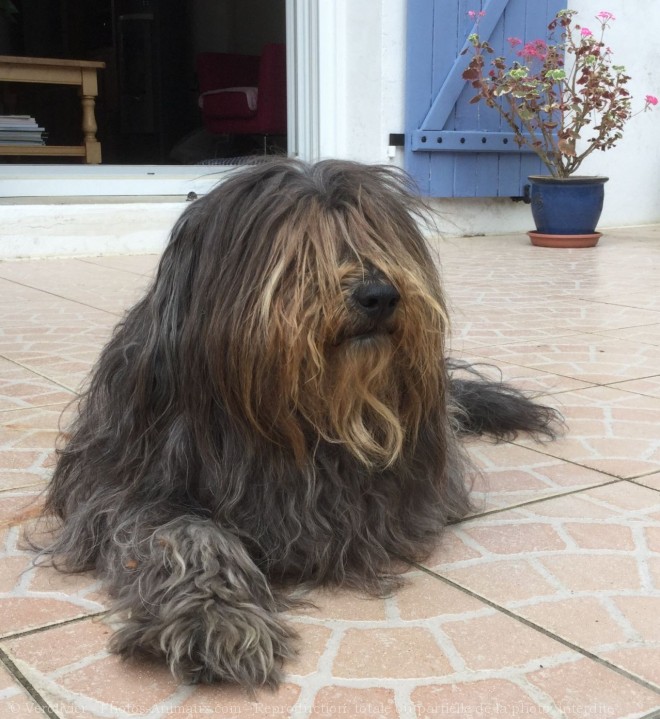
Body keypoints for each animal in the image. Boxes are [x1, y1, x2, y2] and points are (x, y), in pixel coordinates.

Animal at [38, 160, 560, 688]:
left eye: (377, 235)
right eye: (304, 249)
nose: (380, 295)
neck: (292, 419)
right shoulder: (124, 486)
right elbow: (184, 534)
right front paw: (215, 616)